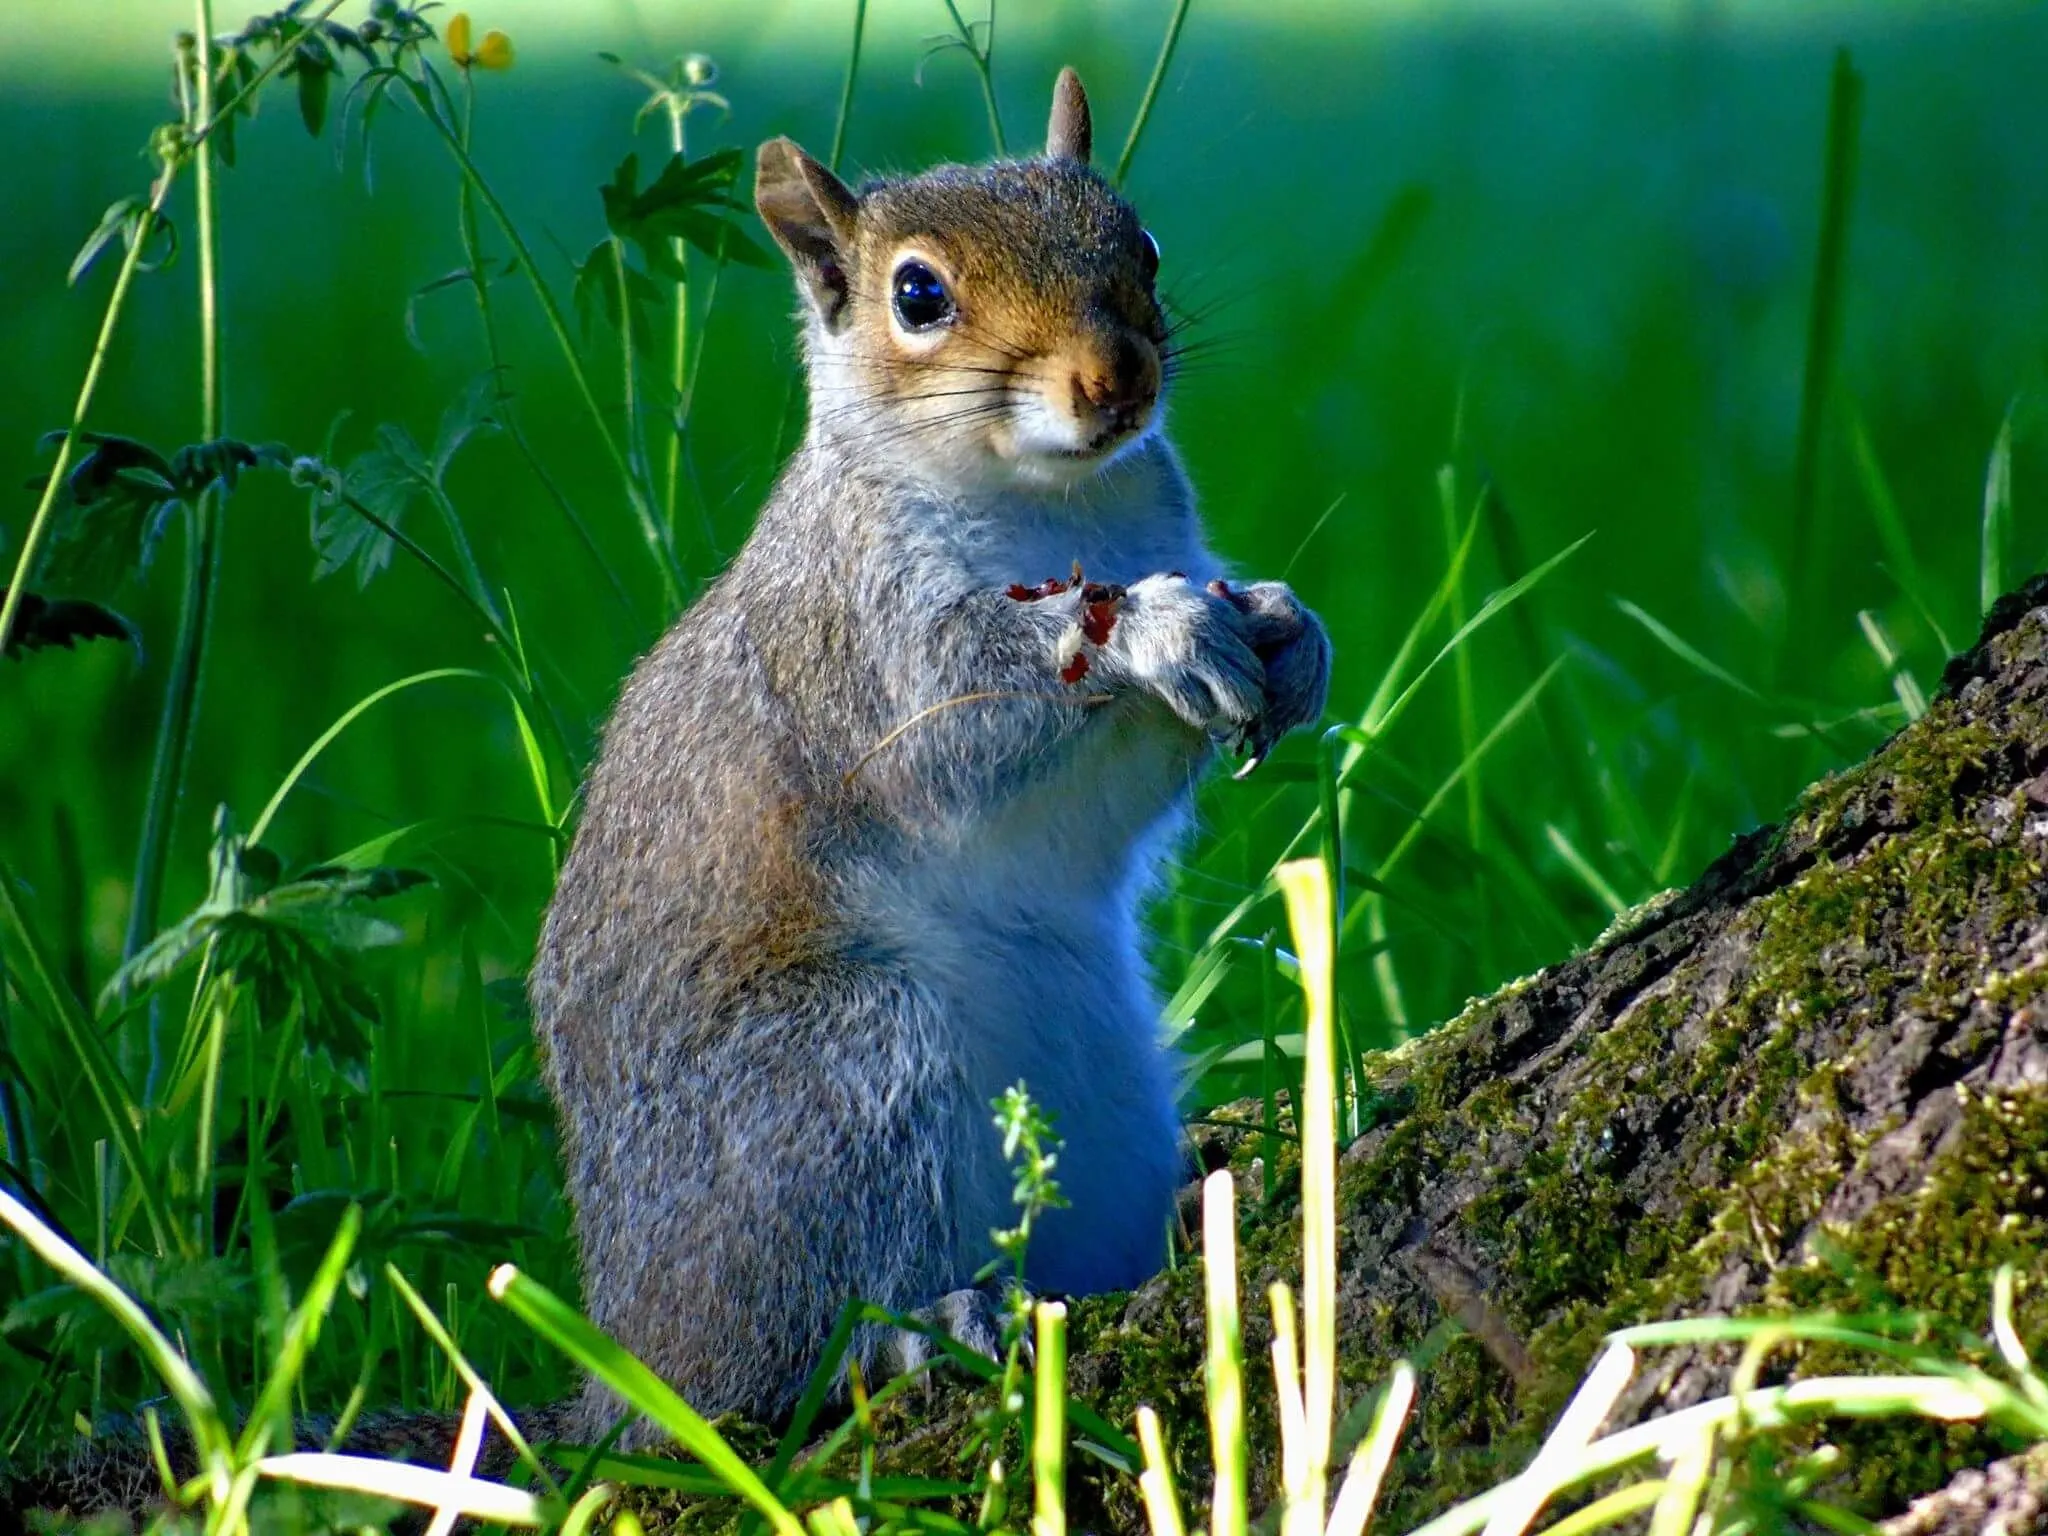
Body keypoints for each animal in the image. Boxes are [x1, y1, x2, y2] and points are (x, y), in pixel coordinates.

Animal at [530, 67, 1331, 1441]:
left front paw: (1287, 630)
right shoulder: (861, 650)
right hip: (837, 1080)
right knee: (790, 1349)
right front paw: (1153, 628)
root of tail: (626, 1356)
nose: (1114, 380)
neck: (1054, 506)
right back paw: (917, 1322)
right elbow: (962, 727)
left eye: (1142, 245)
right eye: (917, 296)